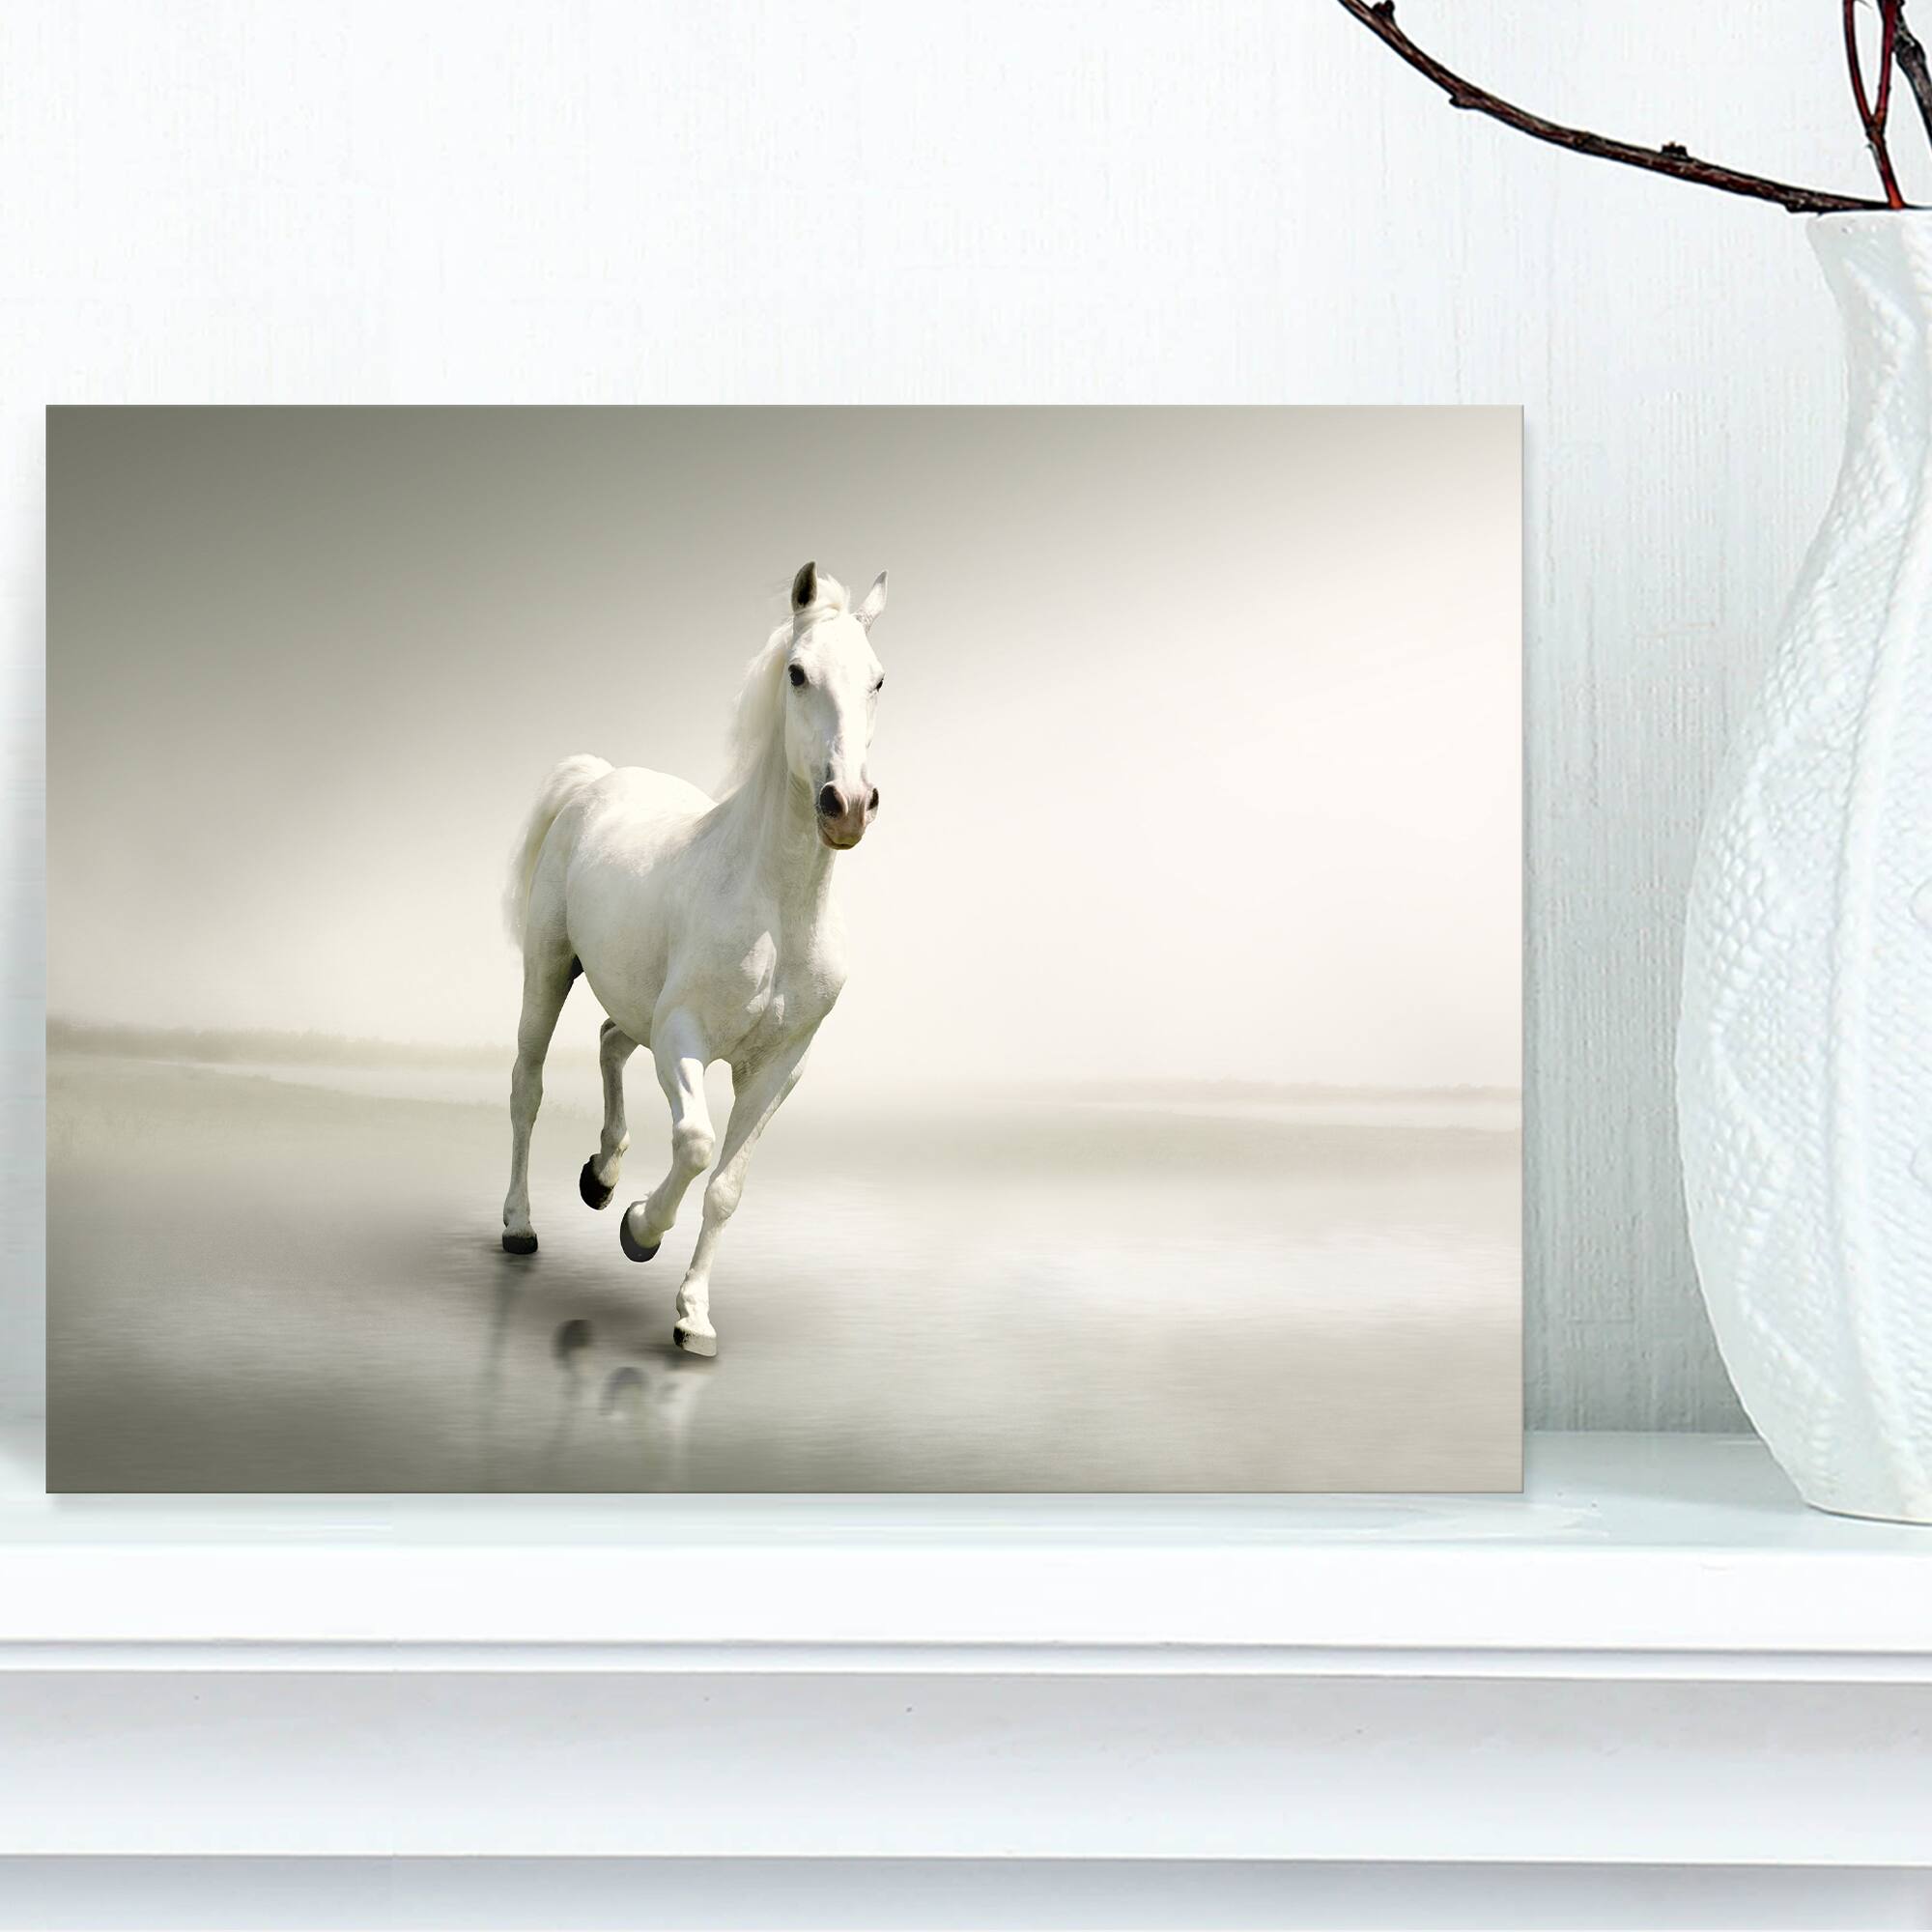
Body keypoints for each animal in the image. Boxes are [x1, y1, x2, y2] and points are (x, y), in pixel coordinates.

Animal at [498, 561, 888, 1357]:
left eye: (878, 680)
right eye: (797, 672)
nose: (848, 805)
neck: (776, 909)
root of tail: (597, 779)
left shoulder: (778, 1069)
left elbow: (728, 1188)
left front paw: (694, 1319)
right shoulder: (684, 1037)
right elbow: (698, 1144)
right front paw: (639, 1230)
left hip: (633, 1000)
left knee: (610, 1039)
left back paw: (601, 1174)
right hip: (549, 970)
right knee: (528, 1084)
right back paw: (521, 1224)